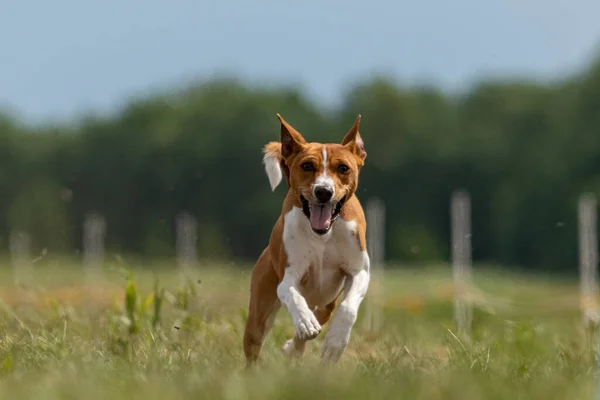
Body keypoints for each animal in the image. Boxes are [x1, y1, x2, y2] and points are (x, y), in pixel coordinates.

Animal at [241, 114, 368, 364]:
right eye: (307, 166)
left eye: (343, 168)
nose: (323, 191)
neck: (324, 235)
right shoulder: (289, 273)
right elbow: (290, 292)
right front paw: (304, 321)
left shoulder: (359, 270)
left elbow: (348, 307)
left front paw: (335, 342)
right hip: (260, 308)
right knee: (254, 340)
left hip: (328, 300)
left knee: (323, 314)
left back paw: (295, 345)